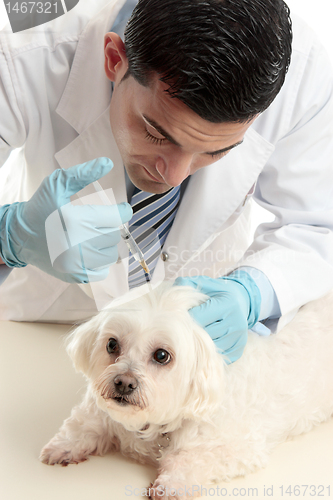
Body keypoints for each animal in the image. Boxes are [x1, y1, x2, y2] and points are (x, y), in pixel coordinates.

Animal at [40, 284, 332, 498]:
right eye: (112, 344)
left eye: (161, 355)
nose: (123, 382)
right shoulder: (101, 410)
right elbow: (84, 424)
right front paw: (64, 446)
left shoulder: (238, 446)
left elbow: (193, 458)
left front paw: (171, 484)